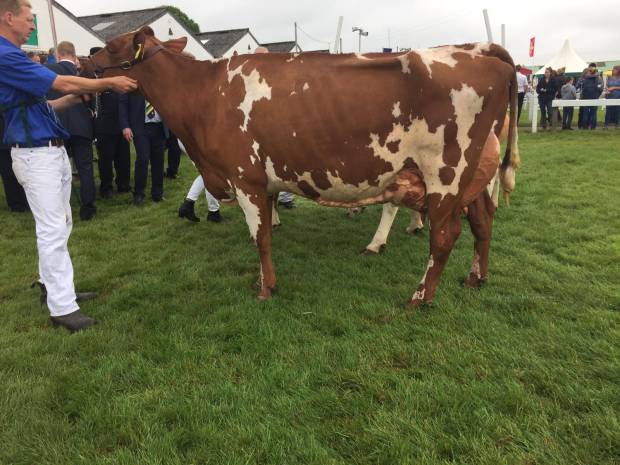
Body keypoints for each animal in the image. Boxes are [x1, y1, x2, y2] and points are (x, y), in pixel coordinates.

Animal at [89, 28, 520, 304]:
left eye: (110, 46)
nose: (87, 57)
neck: (203, 94)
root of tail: (476, 49)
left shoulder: (245, 178)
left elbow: (260, 237)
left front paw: (266, 288)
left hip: (446, 174)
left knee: (445, 236)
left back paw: (420, 296)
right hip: (471, 179)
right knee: (483, 222)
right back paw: (475, 277)